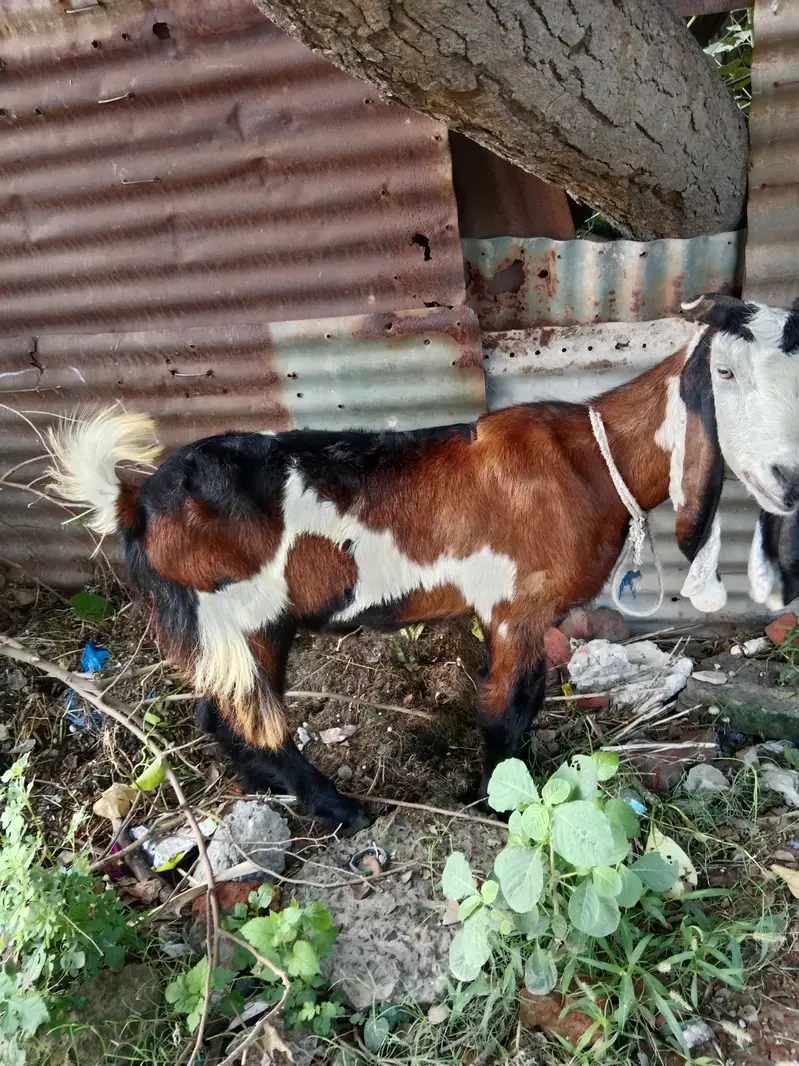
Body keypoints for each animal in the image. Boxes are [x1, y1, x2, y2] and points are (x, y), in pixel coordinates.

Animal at [48, 293, 799, 834]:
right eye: (723, 373)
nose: (785, 479)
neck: (590, 457)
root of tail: (135, 502)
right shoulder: (516, 607)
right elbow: (506, 708)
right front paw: (500, 800)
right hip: (238, 615)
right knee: (246, 717)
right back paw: (341, 811)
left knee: (219, 715)